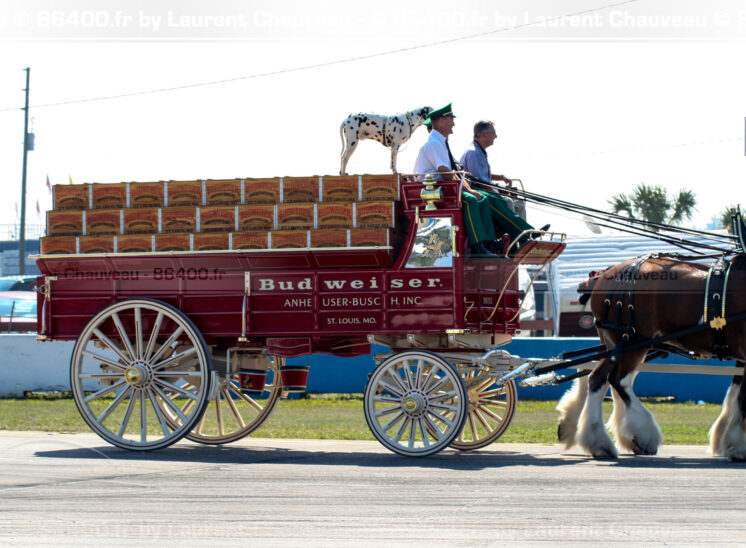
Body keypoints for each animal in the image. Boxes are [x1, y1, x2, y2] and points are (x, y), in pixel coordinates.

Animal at [556, 253, 746, 460]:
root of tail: (609, 272)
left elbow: (735, 393)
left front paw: (727, 439)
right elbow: (742, 399)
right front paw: (738, 446)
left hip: (616, 344)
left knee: (598, 378)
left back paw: (594, 438)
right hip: (633, 343)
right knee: (617, 381)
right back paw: (639, 435)